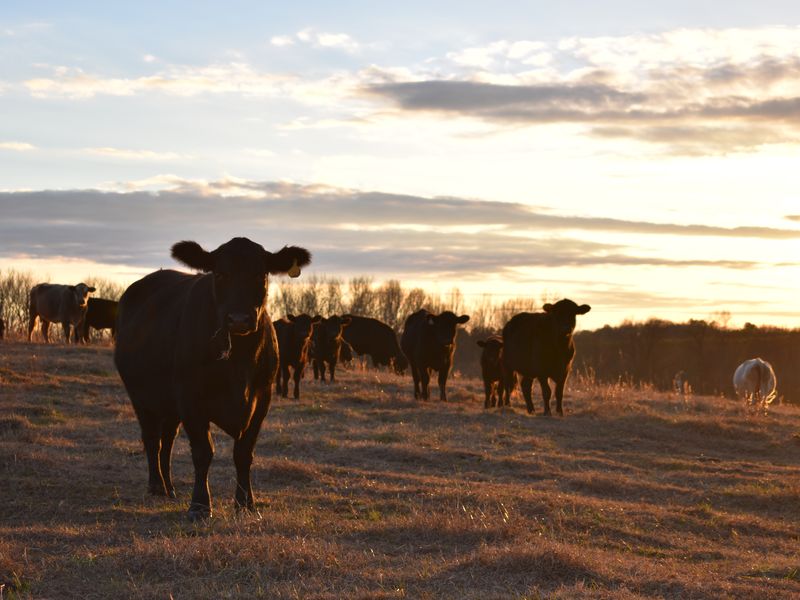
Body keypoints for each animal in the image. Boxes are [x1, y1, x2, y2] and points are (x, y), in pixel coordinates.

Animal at [113, 237, 311, 521]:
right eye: (220, 274)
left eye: (260, 274)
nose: (239, 319)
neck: (239, 361)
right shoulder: (190, 397)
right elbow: (202, 452)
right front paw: (199, 505)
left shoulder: (262, 396)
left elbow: (243, 453)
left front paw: (245, 503)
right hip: (141, 396)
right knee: (152, 439)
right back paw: (157, 486)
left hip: (170, 404)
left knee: (167, 440)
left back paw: (170, 487)